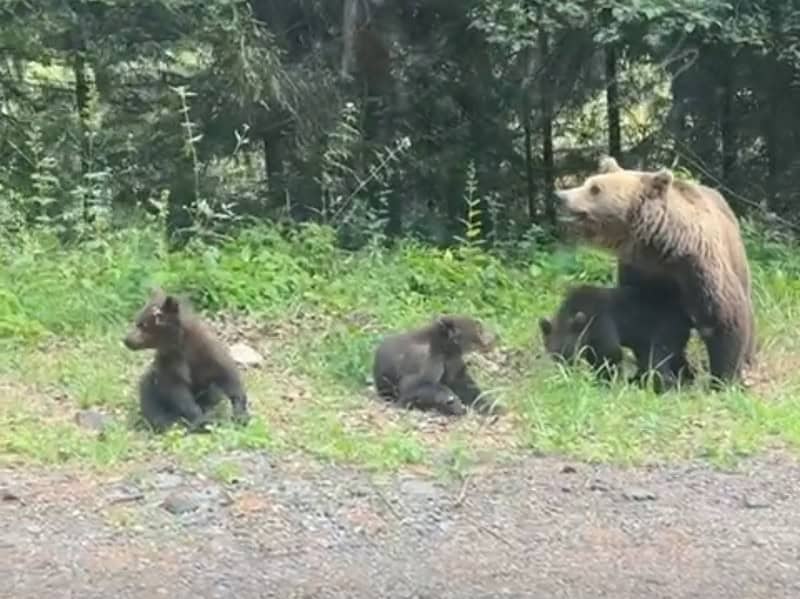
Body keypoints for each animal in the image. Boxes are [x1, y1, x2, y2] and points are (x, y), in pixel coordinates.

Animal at [556, 157, 756, 386]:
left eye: (595, 188)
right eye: (588, 181)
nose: (560, 196)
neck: (661, 247)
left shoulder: (698, 267)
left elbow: (723, 316)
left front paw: (724, 379)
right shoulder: (639, 270)